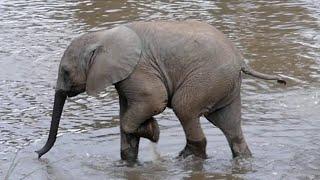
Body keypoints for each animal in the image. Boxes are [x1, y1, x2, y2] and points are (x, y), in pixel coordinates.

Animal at [36, 20, 286, 161]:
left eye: (66, 72)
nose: (37, 154)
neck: (102, 36)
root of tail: (241, 60)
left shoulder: (138, 70)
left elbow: (153, 101)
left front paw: (152, 131)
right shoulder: (124, 77)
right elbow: (125, 115)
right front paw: (129, 160)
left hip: (207, 79)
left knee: (185, 108)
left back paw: (186, 159)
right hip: (225, 84)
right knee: (229, 126)